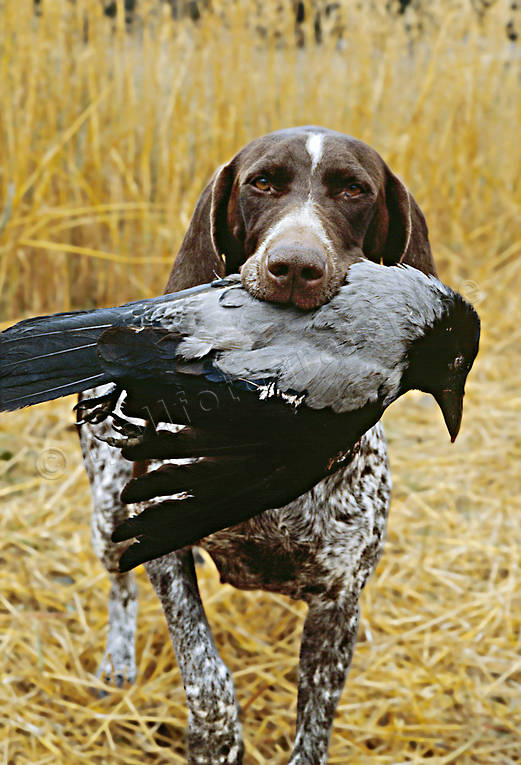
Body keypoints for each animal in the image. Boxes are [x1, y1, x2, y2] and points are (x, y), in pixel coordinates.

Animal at [77, 127, 434, 764]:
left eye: (354, 190)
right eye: (262, 183)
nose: (294, 265)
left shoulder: (339, 600)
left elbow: (313, 729)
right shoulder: (162, 547)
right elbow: (207, 678)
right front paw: (216, 738)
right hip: (107, 514)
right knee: (119, 587)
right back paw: (118, 663)